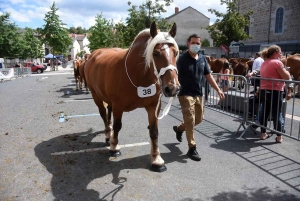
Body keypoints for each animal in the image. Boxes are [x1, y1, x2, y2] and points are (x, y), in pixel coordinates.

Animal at [84, 22, 179, 173]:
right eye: (156, 53)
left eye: (176, 53)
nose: (172, 88)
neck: (138, 75)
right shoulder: (118, 106)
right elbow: (117, 126)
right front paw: (114, 147)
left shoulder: (153, 106)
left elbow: (154, 132)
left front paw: (156, 159)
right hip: (96, 96)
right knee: (104, 115)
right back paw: (108, 135)